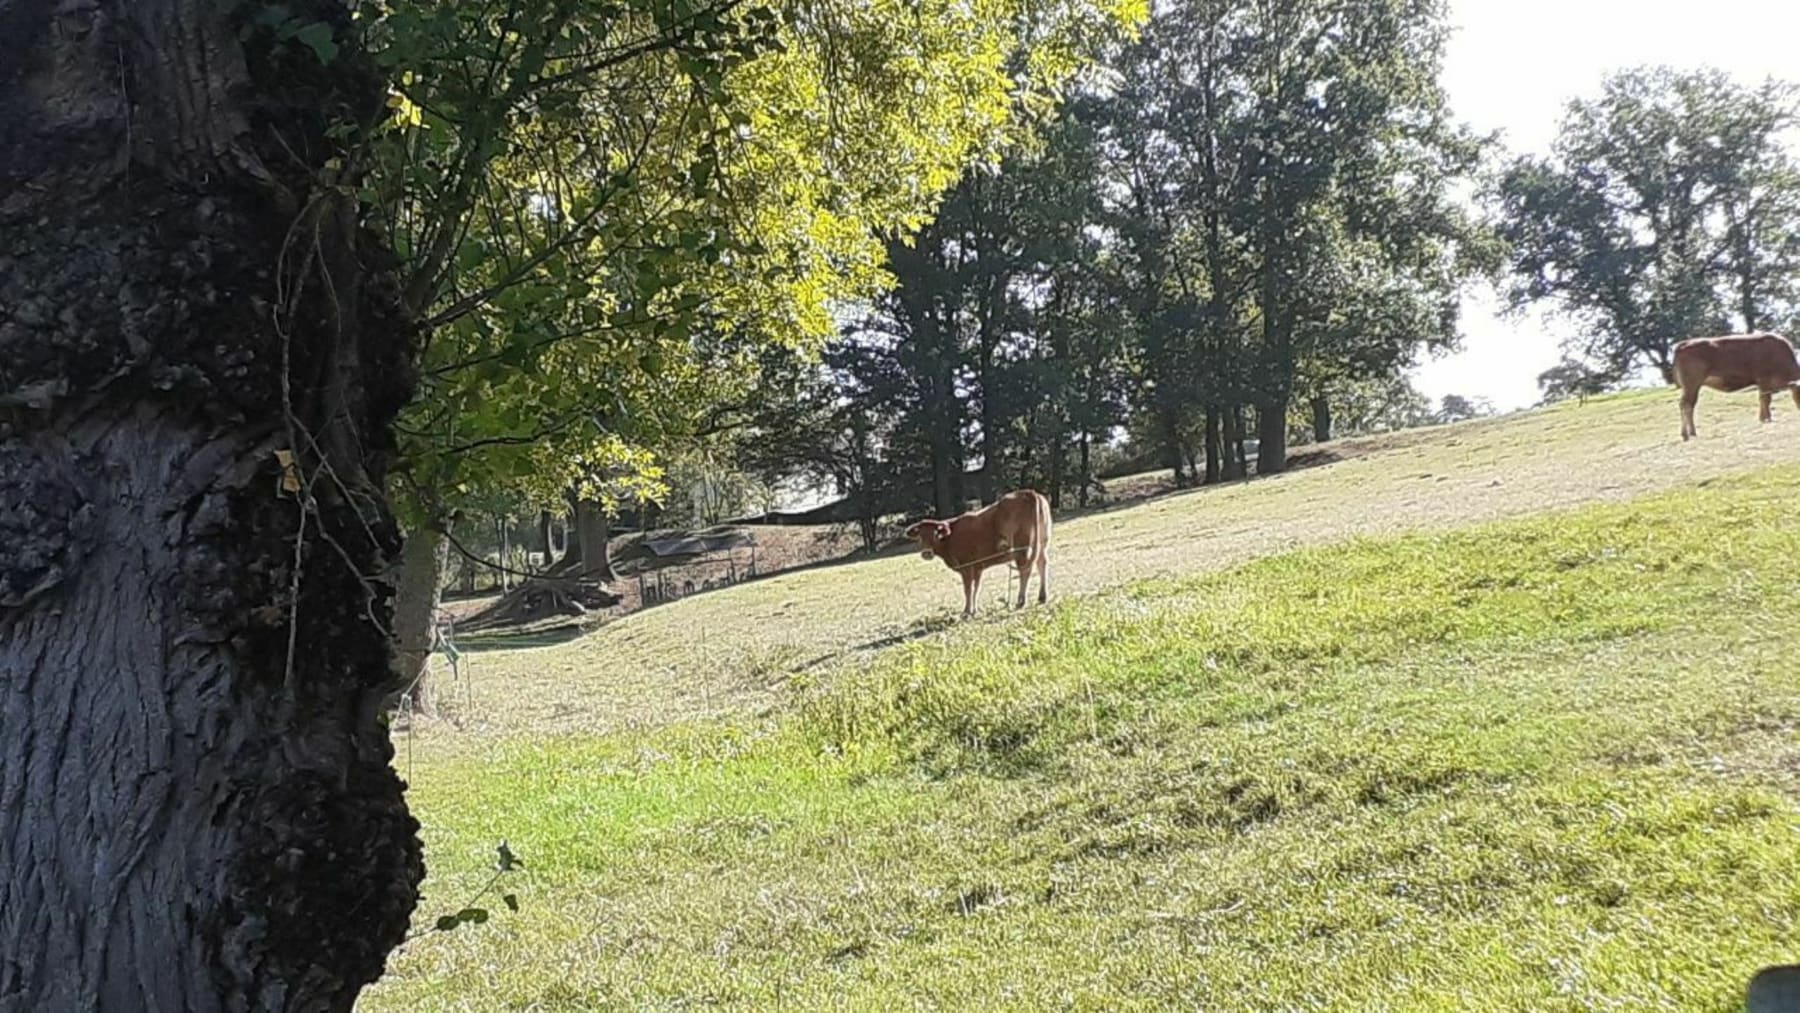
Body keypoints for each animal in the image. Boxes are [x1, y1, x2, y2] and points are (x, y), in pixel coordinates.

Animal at [907, 493, 1051, 618]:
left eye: (935, 534)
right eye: (920, 536)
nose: (927, 553)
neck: (950, 537)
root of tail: (1029, 493)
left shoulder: (967, 566)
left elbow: (968, 589)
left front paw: (967, 611)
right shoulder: (978, 567)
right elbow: (976, 588)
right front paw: (974, 610)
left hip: (1022, 548)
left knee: (1025, 569)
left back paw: (1021, 600)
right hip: (1042, 542)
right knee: (1041, 563)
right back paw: (1042, 596)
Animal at [1670, 332, 1800, 440]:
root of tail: (1684, 344)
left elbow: (1764, 400)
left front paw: (1764, 418)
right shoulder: (1763, 381)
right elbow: (1765, 400)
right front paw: (1766, 418)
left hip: (1692, 387)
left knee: (1689, 406)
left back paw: (1691, 432)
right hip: (1692, 385)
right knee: (1686, 405)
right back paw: (1686, 434)